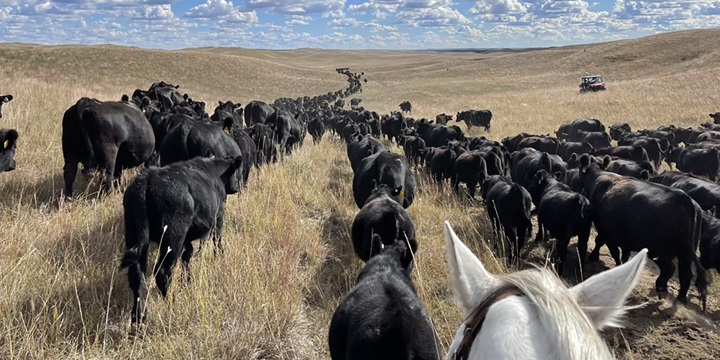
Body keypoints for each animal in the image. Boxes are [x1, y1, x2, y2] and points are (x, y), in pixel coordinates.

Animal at [119, 156, 242, 324]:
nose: (237, 187)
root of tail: (145, 181)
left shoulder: (187, 238)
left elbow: (187, 255)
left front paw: (187, 280)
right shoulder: (218, 216)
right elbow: (216, 240)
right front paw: (219, 256)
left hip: (134, 234)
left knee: (137, 277)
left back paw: (138, 318)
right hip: (173, 237)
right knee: (163, 273)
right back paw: (173, 302)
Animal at [576, 155, 704, 310]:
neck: (599, 177)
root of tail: (685, 199)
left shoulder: (606, 230)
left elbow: (606, 245)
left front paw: (597, 258)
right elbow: (621, 252)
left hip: (660, 249)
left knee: (670, 268)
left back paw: (661, 288)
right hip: (685, 252)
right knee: (686, 274)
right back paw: (680, 298)